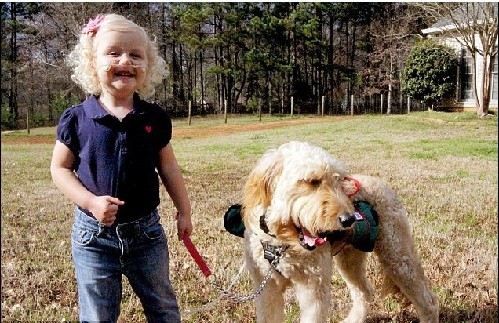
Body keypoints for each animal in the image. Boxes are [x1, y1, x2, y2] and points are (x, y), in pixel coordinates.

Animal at [240, 142, 440, 323]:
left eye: (339, 181)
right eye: (313, 181)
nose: (349, 219)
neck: (283, 245)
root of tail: (383, 185)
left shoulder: (313, 289)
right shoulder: (266, 289)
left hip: (398, 256)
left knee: (429, 302)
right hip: (349, 260)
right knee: (364, 292)